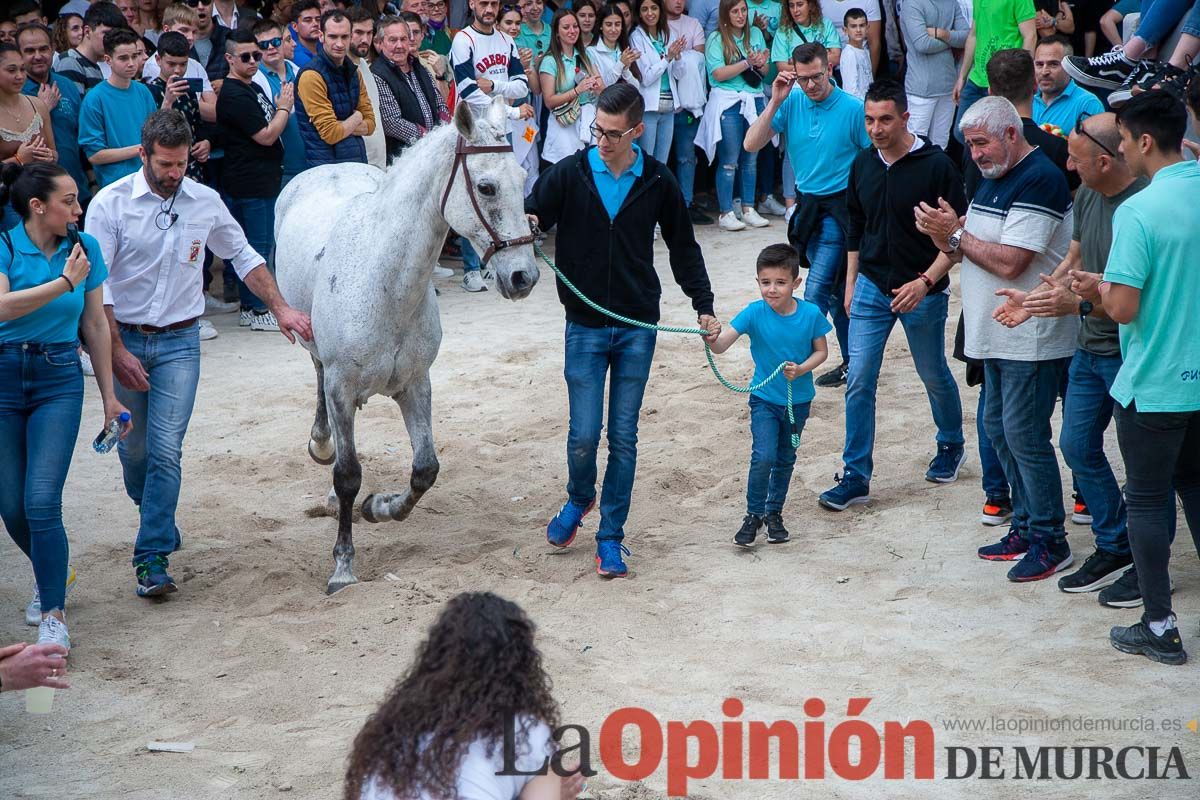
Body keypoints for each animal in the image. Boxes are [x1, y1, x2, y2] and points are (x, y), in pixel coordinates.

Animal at [276, 97, 540, 592]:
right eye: (487, 187)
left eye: (522, 179)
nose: (523, 277)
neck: (385, 282)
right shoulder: (341, 388)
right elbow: (348, 474)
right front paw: (343, 565)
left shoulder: (416, 384)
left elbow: (425, 470)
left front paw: (379, 508)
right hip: (316, 352)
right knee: (319, 383)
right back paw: (321, 444)